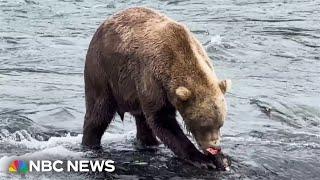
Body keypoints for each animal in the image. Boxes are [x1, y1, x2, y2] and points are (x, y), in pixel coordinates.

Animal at [82, 7, 232, 170]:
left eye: (220, 124)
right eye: (204, 125)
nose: (215, 147)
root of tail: (103, 24)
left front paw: (221, 159)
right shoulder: (152, 79)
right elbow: (162, 119)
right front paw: (201, 159)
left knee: (142, 120)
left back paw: (150, 143)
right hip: (103, 73)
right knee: (98, 113)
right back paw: (90, 144)